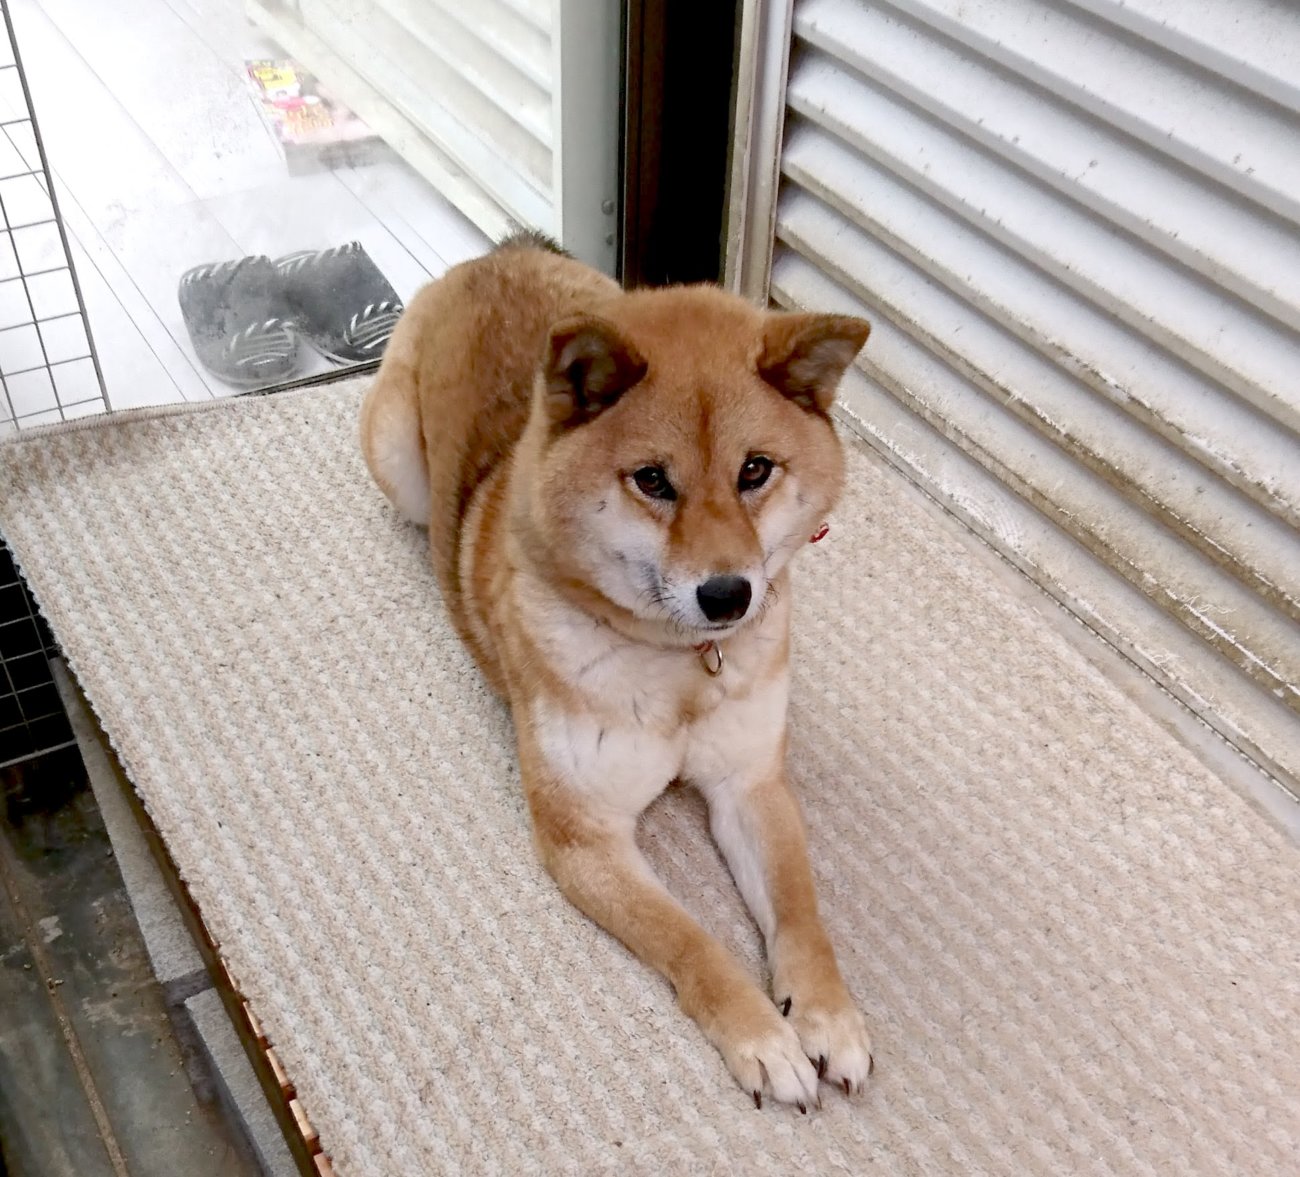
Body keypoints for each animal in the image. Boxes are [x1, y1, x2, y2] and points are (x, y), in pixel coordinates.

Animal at [358, 234, 873, 1108]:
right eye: (653, 480)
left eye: (756, 471)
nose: (728, 594)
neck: (682, 665)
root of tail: (496, 256)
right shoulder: (587, 838)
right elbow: (691, 941)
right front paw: (761, 1034)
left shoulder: (750, 784)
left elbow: (802, 910)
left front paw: (827, 1013)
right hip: (398, 463)